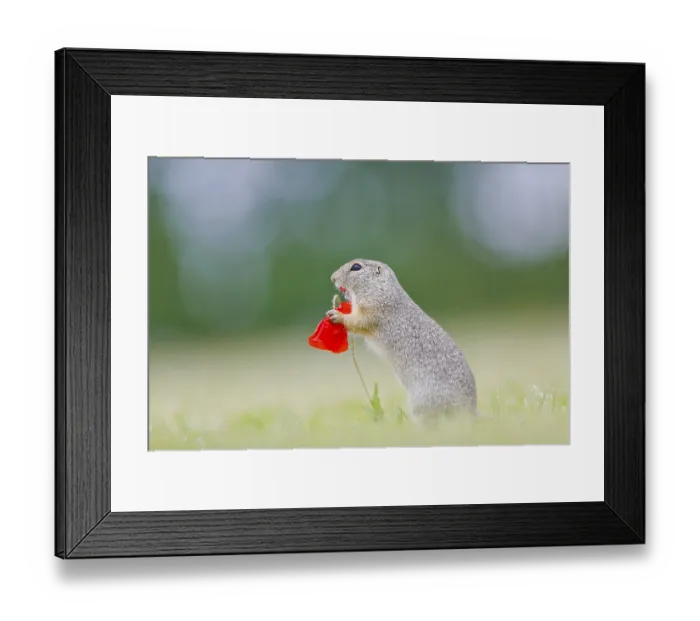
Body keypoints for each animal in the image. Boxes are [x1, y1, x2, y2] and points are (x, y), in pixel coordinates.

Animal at [327, 258, 477, 419]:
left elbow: (358, 321)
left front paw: (337, 315)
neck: (382, 290)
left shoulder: (374, 310)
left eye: (356, 267)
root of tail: (471, 411)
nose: (333, 277)